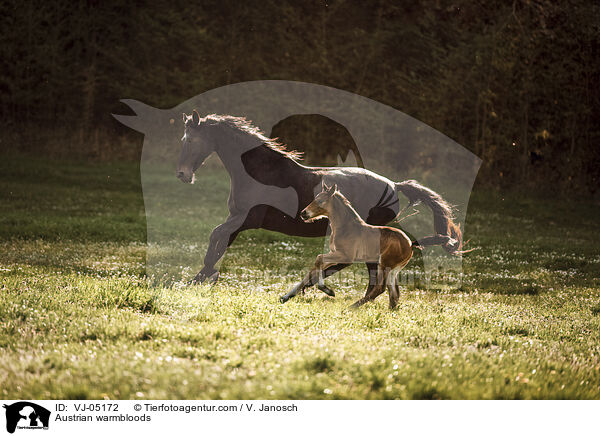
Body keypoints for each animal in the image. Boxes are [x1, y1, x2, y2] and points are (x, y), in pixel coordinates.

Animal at [282, 182, 454, 308]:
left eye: (320, 201)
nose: (303, 213)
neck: (346, 227)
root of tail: (411, 243)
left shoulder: (345, 256)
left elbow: (318, 260)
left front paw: (328, 290)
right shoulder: (335, 255)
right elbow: (314, 269)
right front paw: (286, 296)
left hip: (384, 264)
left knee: (380, 288)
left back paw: (350, 308)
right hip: (393, 269)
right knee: (394, 293)